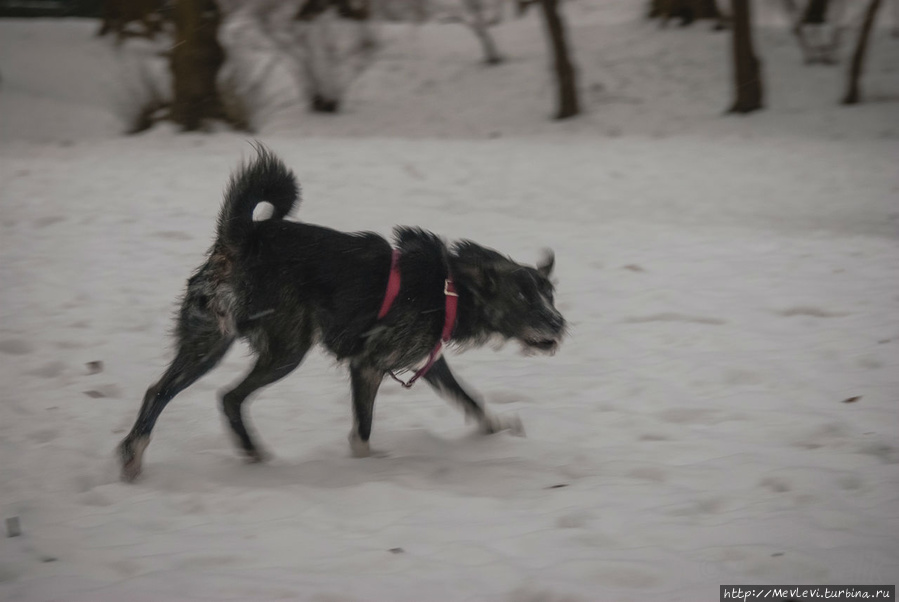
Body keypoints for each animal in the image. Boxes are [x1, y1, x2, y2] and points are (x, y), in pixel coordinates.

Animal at [116, 145, 568, 478]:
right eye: (525, 297)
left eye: (550, 294)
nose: (560, 324)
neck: (449, 286)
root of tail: (242, 237)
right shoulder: (367, 365)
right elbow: (363, 430)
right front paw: (364, 466)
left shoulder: (427, 362)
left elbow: (470, 400)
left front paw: (496, 428)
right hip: (285, 350)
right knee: (225, 396)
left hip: (208, 341)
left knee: (166, 392)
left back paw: (140, 455)